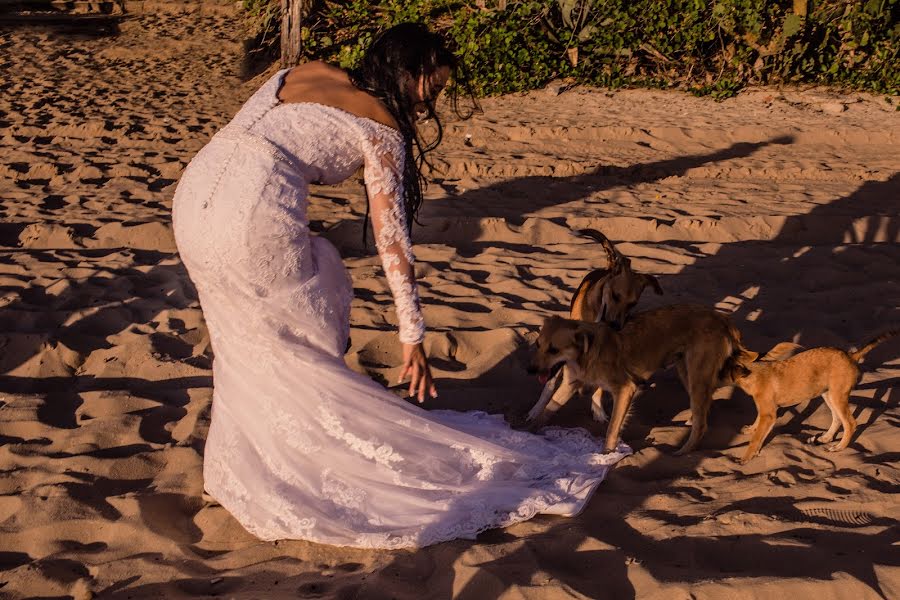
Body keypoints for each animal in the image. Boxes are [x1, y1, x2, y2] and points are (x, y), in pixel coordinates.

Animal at [524, 304, 756, 454]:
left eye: (554, 350)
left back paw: (682, 452)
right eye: (537, 345)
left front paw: (605, 456)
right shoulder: (570, 385)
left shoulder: (625, 389)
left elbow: (612, 429)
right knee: (708, 402)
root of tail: (724, 319)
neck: (588, 353)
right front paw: (529, 433)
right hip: (689, 373)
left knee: (702, 423)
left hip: (698, 374)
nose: (530, 370)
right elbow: (547, 410)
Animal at [532, 230, 664, 426]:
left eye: (632, 304)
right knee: (550, 382)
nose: (616, 326)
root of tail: (608, 267)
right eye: (615, 295)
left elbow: (601, 386)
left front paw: (598, 410)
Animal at [728, 328, 896, 464]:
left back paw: (838, 447)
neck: (754, 373)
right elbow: (757, 424)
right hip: (828, 395)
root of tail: (851, 356)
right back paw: (826, 438)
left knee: (850, 423)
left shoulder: (769, 414)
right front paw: (752, 429)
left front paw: (746, 458)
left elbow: (755, 440)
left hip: (837, 396)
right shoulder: (765, 410)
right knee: (837, 419)